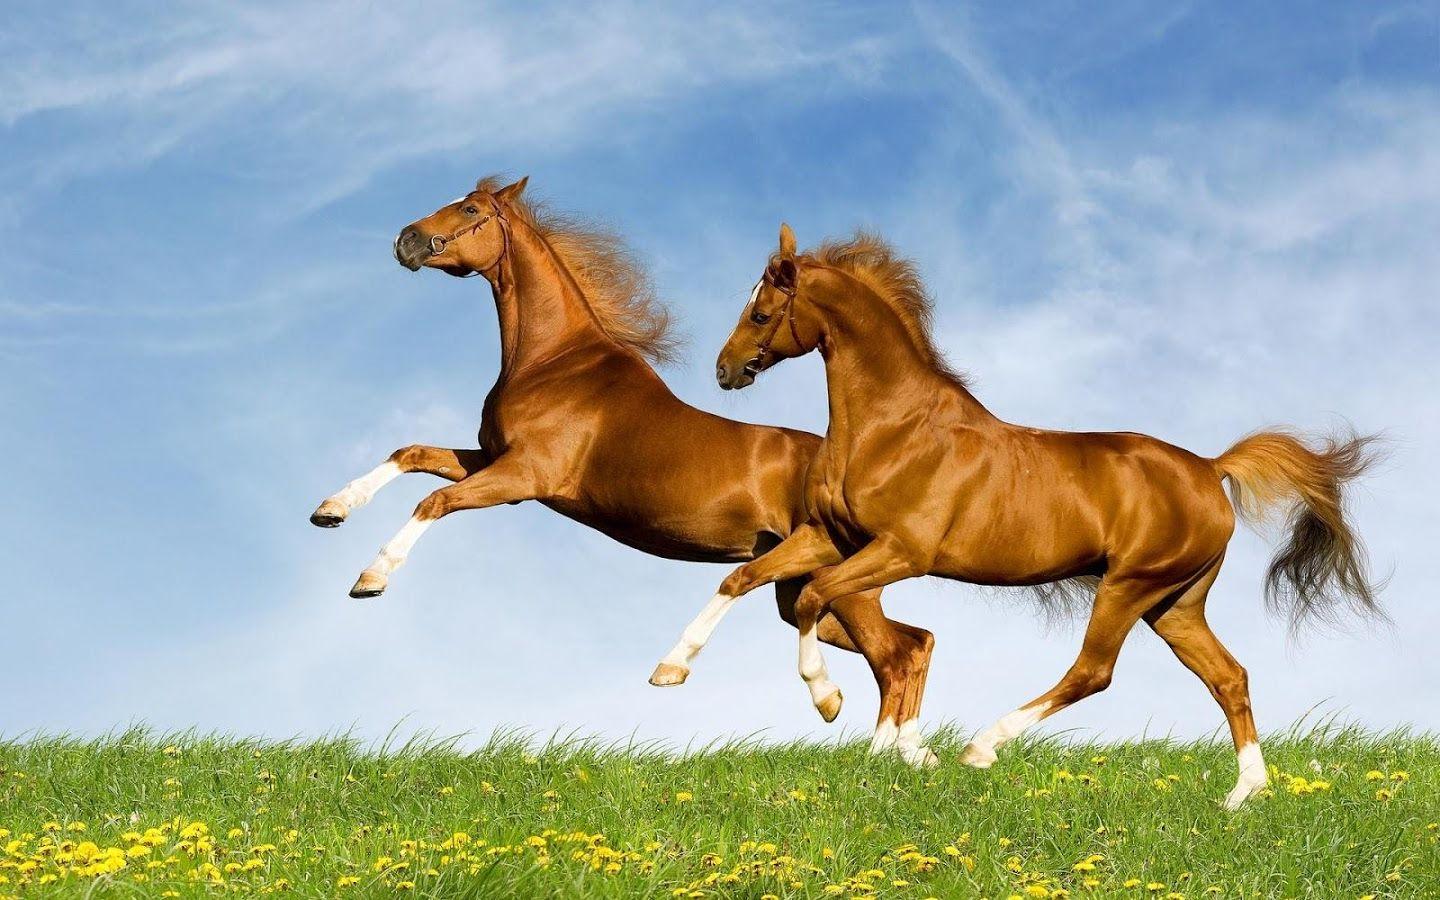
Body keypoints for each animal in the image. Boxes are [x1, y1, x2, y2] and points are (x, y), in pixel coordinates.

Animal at [310, 179, 939, 764]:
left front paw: (371, 578)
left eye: (469, 209)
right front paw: (331, 509)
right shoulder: (489, 458)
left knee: (897, 656)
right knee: (915, 643)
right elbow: (410, 454)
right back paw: (912, 752)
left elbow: (433, 503)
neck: (553, 362)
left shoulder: (522, 478)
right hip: (804, 591)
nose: (406, 240)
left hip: (840, 587)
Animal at [663, 222, 1383, 809]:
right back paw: (1244, 794)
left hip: (1130, 585)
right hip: (1175, 602)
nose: (725, 370)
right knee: (1229, 677)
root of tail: (1210, 468)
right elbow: (742, 578)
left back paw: (982, 746)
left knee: (1093, 672)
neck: (893, 428)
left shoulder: (901, 551)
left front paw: (829, 701)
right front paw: (671, 669)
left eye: (760, 312)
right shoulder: (829, 538)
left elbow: (815, 599)